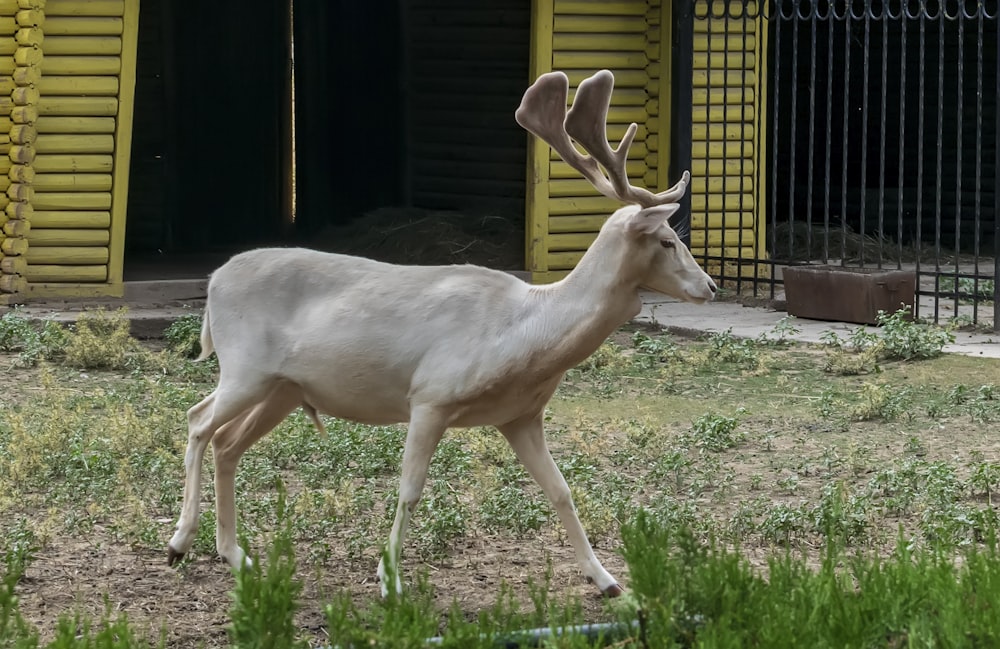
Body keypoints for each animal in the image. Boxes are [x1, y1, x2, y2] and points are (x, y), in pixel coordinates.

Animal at [170, 68, 720, 596]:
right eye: (667, 241)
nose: (711, 286)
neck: (524, 335)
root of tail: (214, 281)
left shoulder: (521, 416)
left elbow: (561, 489)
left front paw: (606, 580)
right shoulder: (430, 395)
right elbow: (410, 490)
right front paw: (388, 579)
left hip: (284, 388)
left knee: (227, 443)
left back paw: (235, 554)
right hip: (245, 367)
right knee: (198, 421)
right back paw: (179, 543)